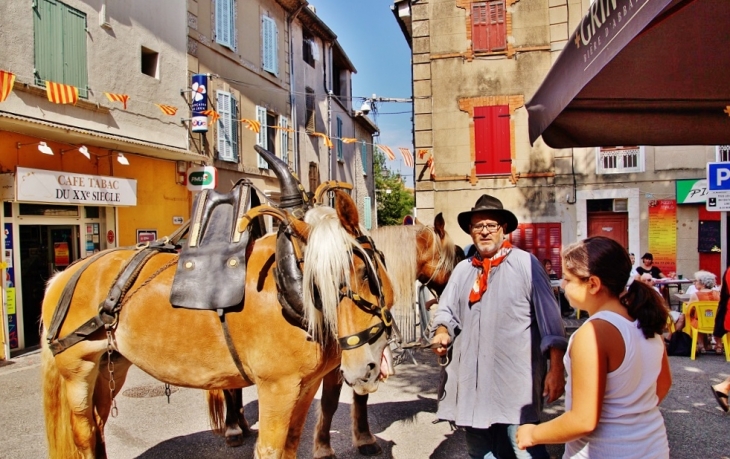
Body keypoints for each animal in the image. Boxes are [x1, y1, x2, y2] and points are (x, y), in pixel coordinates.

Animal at [39, 189, 392, 458]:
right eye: (318, 284)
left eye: (365, 273)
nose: (363, 369)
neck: (287, 287)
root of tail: (67, 274)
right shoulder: (277, 388)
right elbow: (270, 449)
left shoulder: (306, 386)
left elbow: (292, 444)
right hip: (79, 369)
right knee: (85, 433)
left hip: (110, 363)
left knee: (98, 426)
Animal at [205, 214, 458, 458]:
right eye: (455, 257)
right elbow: (331, 402)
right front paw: (329, 447)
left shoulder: (353, 362)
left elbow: (345, 399)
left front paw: (358, 440)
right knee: (229, 389)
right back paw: (233, 429)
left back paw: (242, 424)